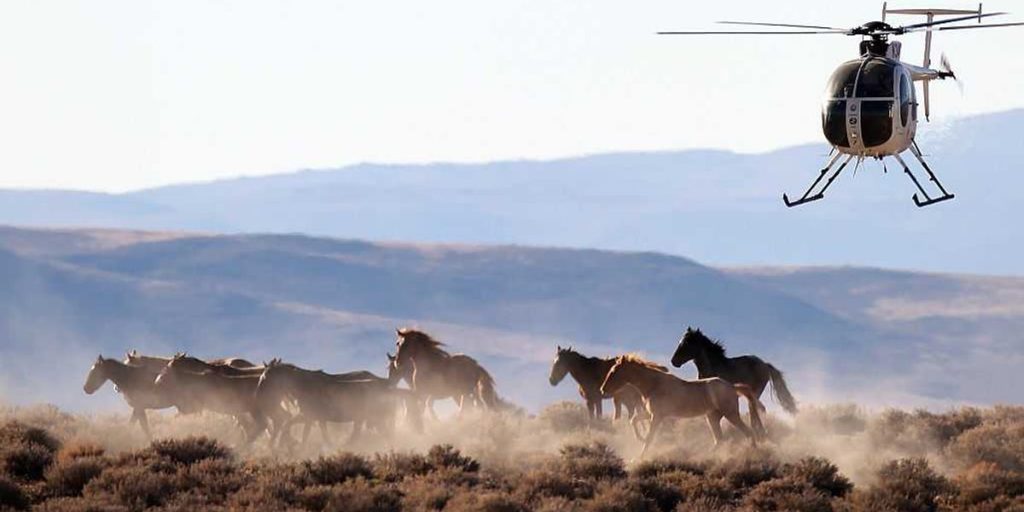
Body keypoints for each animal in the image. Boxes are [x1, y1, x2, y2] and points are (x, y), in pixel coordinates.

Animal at [600, 355, 765, 459]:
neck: (654, 385)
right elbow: (634, 420)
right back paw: (703, 457)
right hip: (712, 417)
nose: (602, 390)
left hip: (731, 414)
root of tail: (731, 387)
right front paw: (640, 438)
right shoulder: (652, 414)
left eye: (614, 371)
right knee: (719, 439)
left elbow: (650, 438)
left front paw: (640, 456)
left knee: (748, 432)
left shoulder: (657, 416)